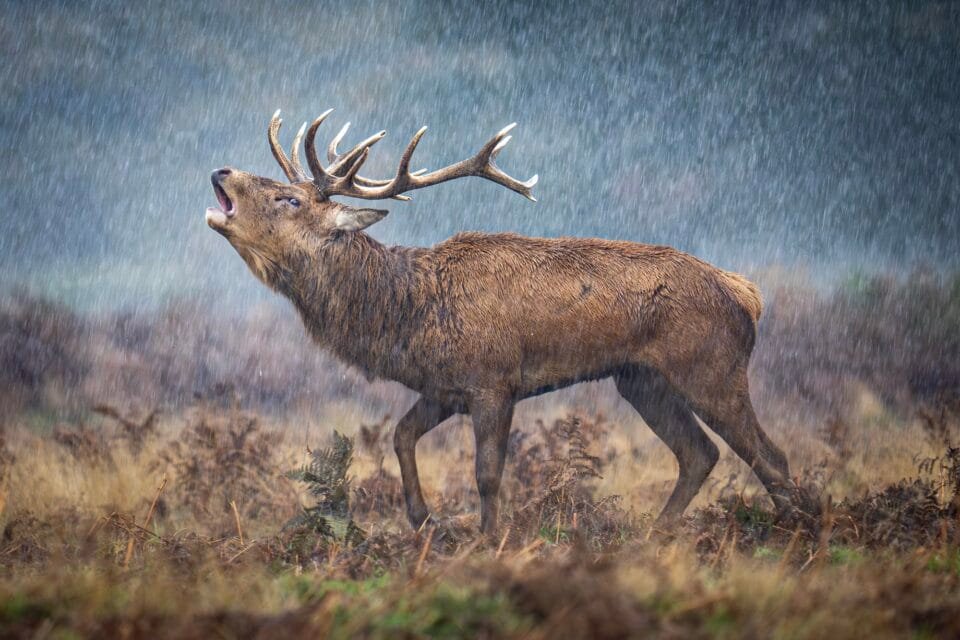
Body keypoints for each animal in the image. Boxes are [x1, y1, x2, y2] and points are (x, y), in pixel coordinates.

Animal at [205, 108, 794, 536]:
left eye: (289, 198)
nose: (221, 170)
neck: (408, 315)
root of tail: (746, 293)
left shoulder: (494, 381)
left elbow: (487, 473)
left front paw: (489, 541)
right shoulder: (444, 387)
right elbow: (400, 435)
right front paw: (424, 522)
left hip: (710, 367)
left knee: (770, 455)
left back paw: (796, 533)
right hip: (641, 380)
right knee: (699, 453)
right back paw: (656, 535)